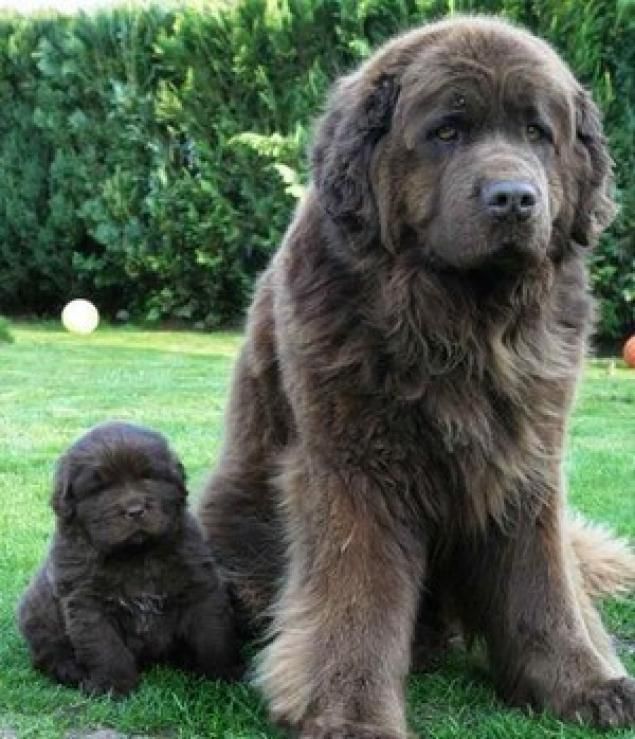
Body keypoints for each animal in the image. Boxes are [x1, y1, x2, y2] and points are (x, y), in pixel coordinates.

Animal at [19, 424, 241, 696]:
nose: (134, 510)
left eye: (148, 476)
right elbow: (106, 648)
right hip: (36, 616)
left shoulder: (199, 586)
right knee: (49, 654)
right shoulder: (87, 603)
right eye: (100, 488)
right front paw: (115, 688)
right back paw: (71, 671)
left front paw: (223, 675)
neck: (136, 554)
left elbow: (213, 635)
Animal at [200, 17, 635, 739]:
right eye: (447, 131)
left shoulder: (528, 460)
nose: (513, 199)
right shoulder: (352, 470)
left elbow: (543, 579)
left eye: (536, 132)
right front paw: (349, 714)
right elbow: (357, 598)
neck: (463, 326)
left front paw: (583, 682)